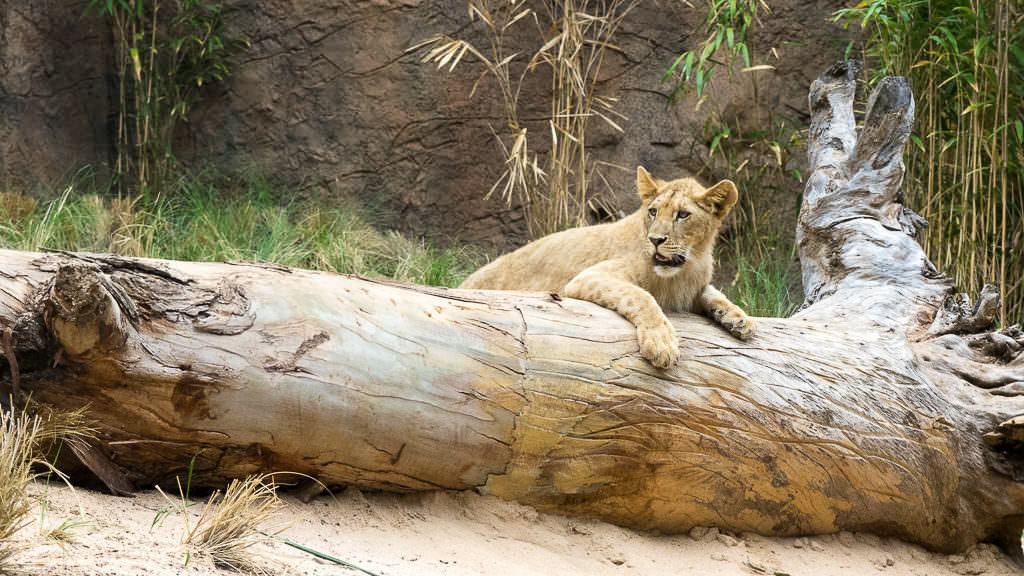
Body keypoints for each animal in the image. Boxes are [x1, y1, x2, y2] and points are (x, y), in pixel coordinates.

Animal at [460, 165, 757, 366]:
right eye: (653, 212)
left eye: (683, 215)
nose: (656, 240)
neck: (684, 269)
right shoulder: (588, 277)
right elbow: (642, 297)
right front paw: (661, 343)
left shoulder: (692, 287)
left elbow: (713, 292)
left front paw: (738, 319)